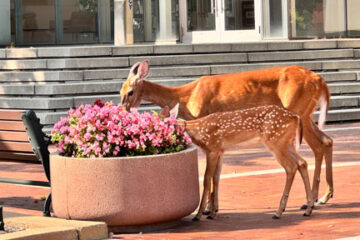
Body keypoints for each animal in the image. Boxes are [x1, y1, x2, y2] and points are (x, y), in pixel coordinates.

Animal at [121, 61, 334, 207]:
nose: (122, 110)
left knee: (318, 146)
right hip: (306, 113)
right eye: (120, 90)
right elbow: (216, 173)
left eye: (130, 91)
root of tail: (320, 80)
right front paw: (211, 208)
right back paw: (322, 196)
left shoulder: (207, 123)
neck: (186, 97)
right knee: (327, 141)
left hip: (298, 109)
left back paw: (313, 200)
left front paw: (207, 209)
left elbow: (211, 173)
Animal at [162, 103, 314, 219]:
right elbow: (216, 178)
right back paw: (308, 209)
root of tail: (296, 117)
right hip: (287, 143)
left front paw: (200, 214)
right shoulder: (220, 151)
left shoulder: (212, 149)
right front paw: (213, 211)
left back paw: (279, 212)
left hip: (276, 142)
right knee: (302, 163)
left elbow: (206, 179)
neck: (198, 132)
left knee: (291, 167)